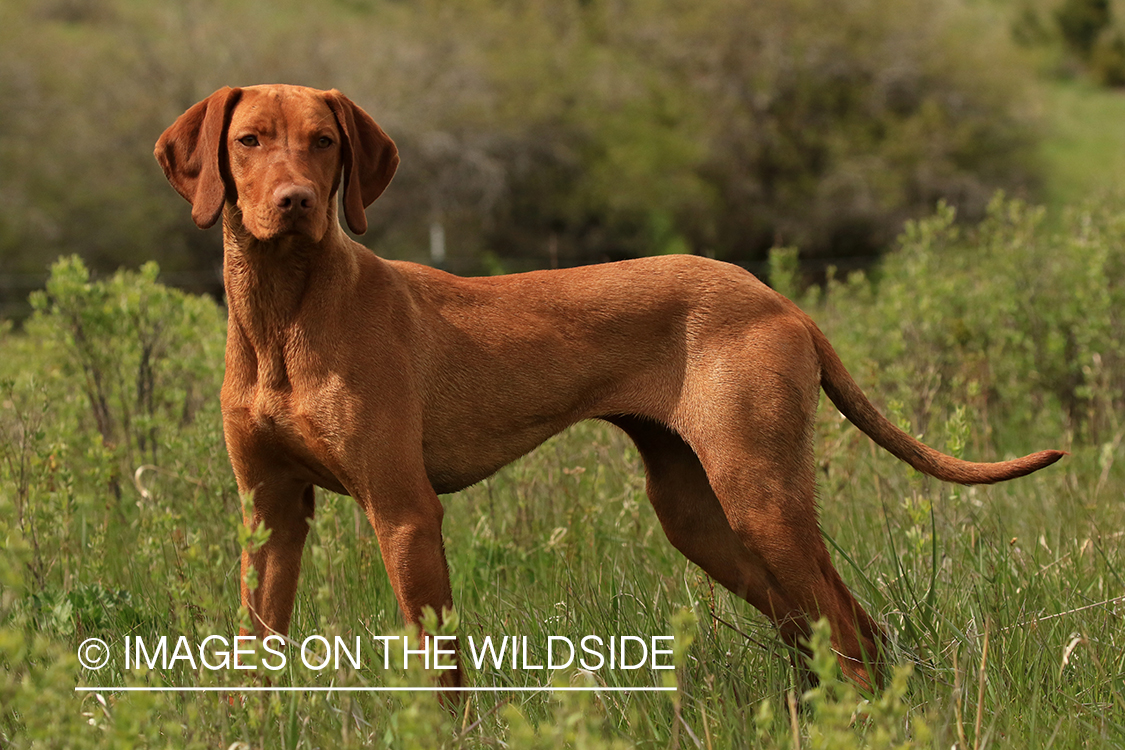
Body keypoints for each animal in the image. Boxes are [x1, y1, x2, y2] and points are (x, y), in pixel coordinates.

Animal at [156, 84, 1062, 688]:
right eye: (249, 140)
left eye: (324, 143)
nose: (296, 203)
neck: (284, 318)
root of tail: (780, 301)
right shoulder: (271, 512)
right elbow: (253, 656)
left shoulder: (404, 511)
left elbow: (439, 675)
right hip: (700, 514)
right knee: (837, 629)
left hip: (758, 499)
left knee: (845, 627)